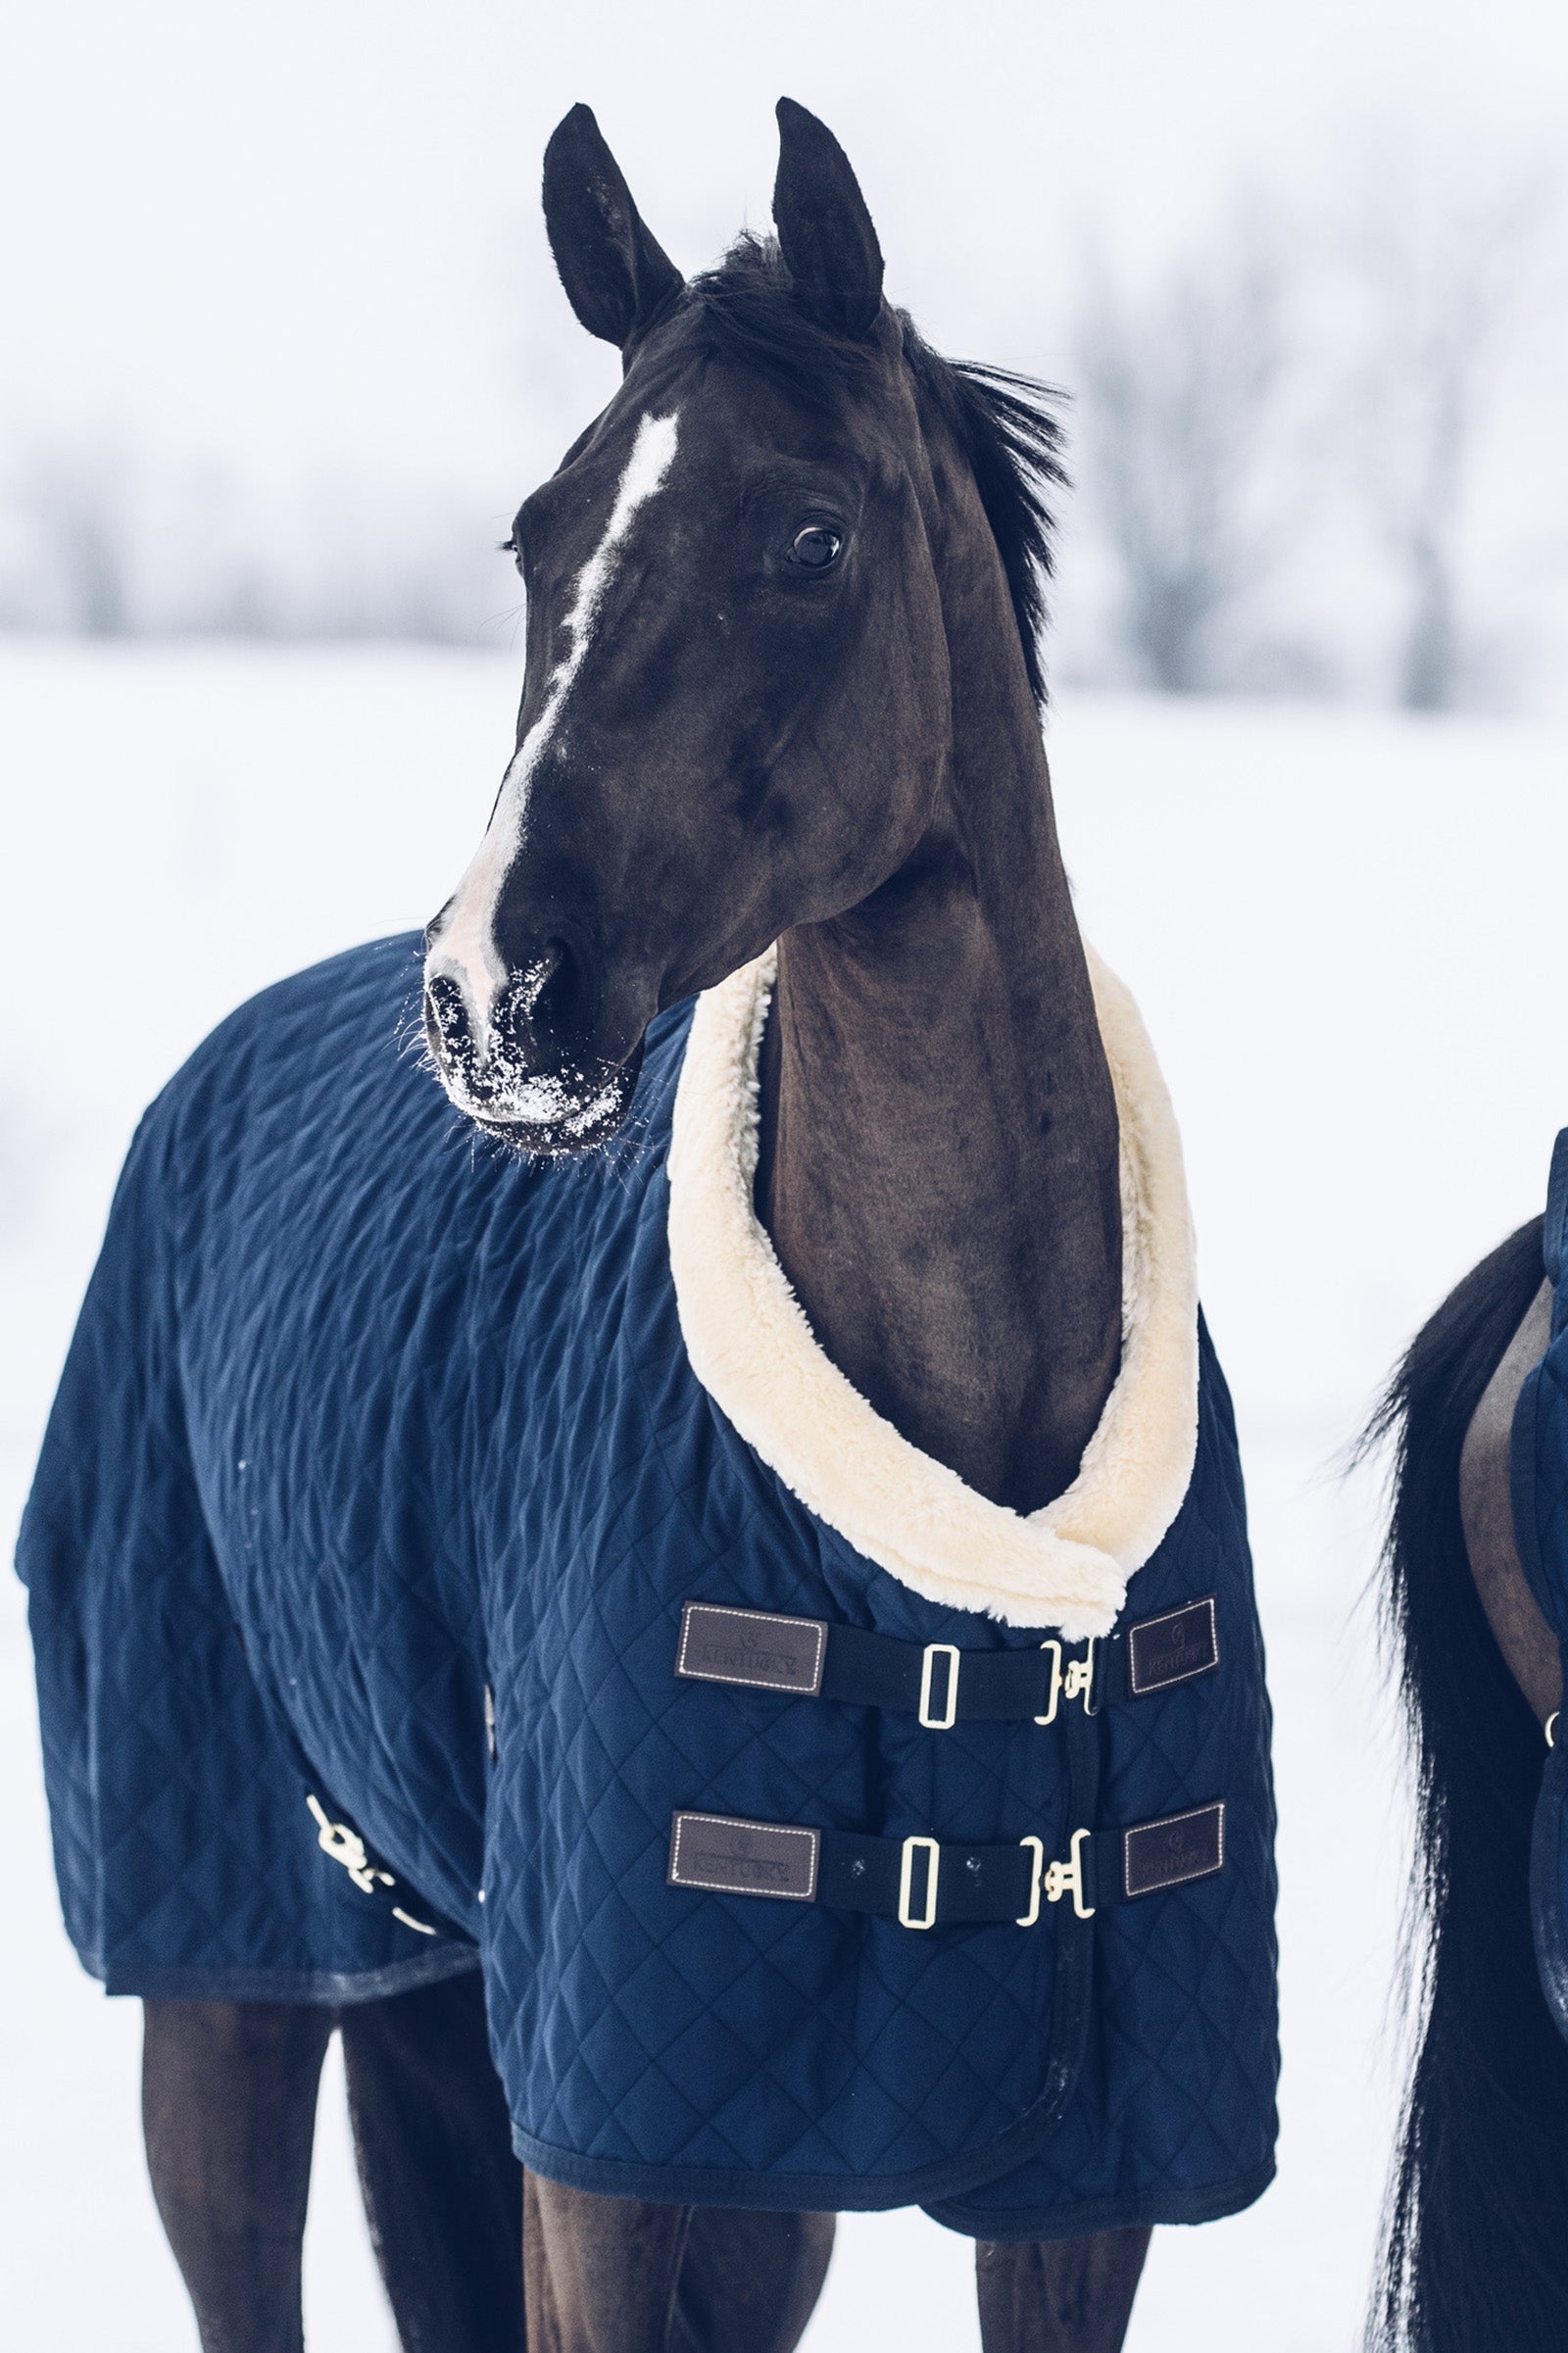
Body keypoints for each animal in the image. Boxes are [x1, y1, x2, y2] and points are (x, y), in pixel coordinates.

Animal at [18, 100, 1279, 2353]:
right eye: (541, 535)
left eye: (811, 539)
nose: (494, 994)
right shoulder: (614, 2170)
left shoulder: (1072, 2190)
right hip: (235, 1982)